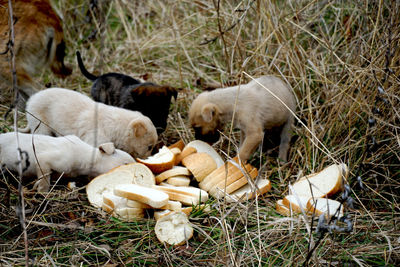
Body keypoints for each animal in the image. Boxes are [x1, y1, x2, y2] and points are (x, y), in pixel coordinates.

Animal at [22, 88, 158, 159]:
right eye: (149, 147)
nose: (149, 158)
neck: (113, 125)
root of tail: (31, 99)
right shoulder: (96, 138)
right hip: (40, 121)